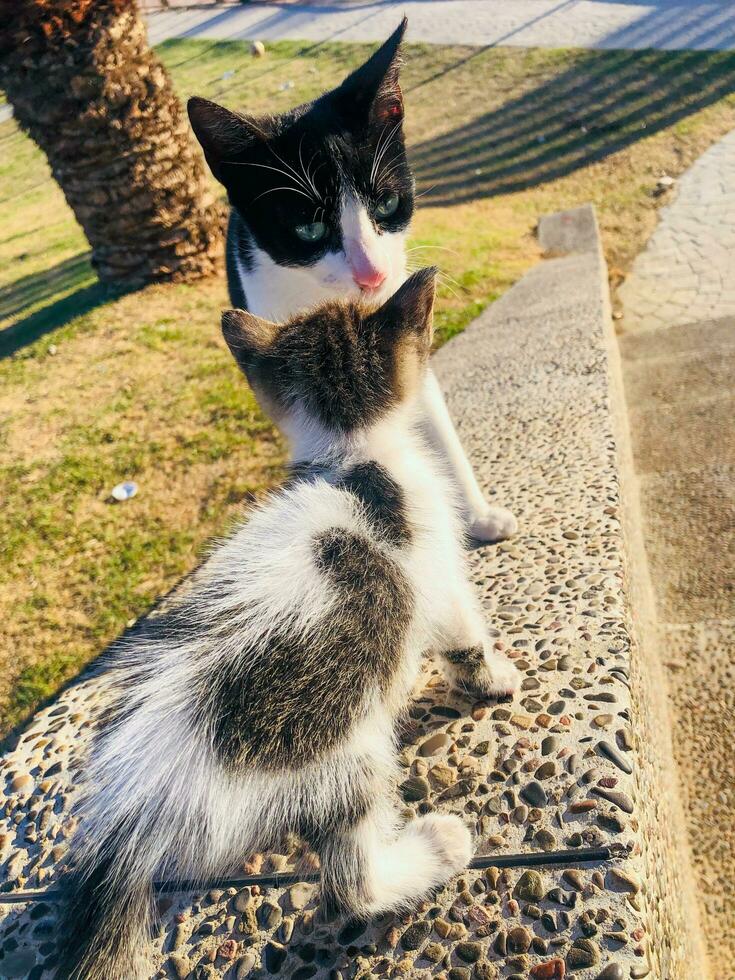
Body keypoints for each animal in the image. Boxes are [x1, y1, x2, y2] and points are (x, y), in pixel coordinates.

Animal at [57, 272, 520, 980]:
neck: (354, 456)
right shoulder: (437, 570)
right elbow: (463, 635)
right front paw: (493, 678)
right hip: (344, 753)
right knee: (350, 884)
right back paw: (437, 846)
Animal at [187, 19, 516, 544]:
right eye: (308, 230)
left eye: (387, 203)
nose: (372, 274)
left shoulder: (398, 314)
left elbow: (421, 395)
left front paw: (478, 512)